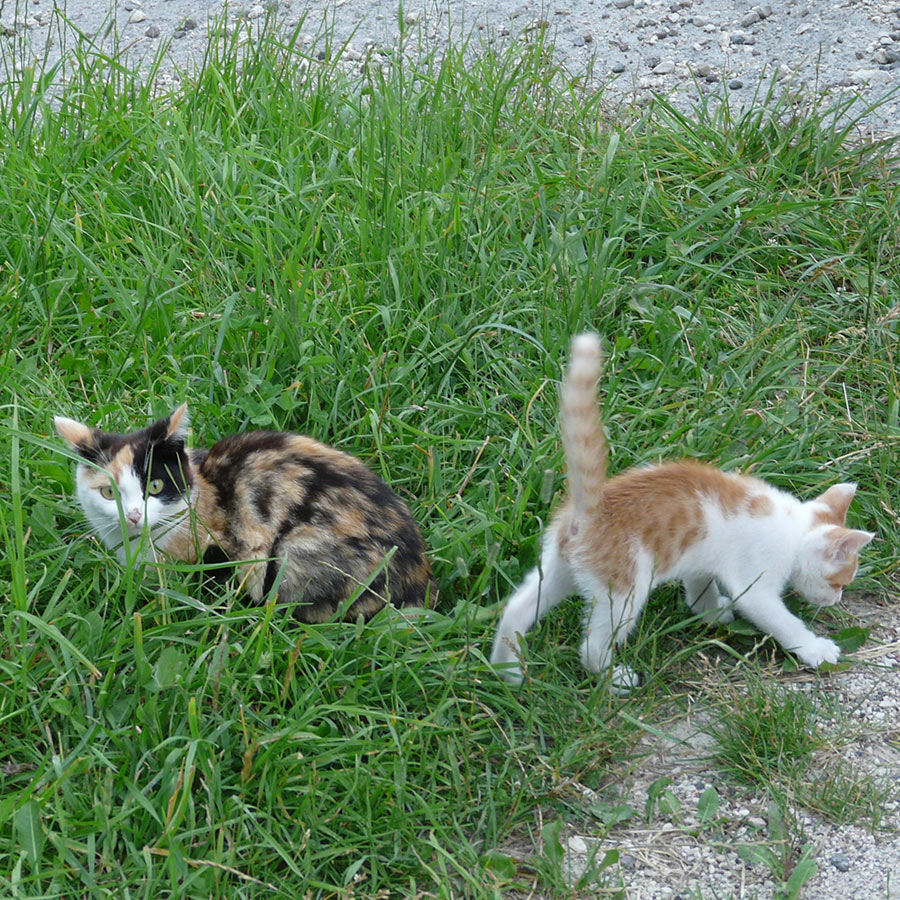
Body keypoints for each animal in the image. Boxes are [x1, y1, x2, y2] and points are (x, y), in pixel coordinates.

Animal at [55, 404, 436, 624]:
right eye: (108, 493)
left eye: (156, 486)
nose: (134, 516)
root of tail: (420, 579)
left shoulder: (224, 546)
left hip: (297, 553)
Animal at [488, 334, 876, 684]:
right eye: (840, 581)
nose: (837, 600)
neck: (794, 528)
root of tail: (595, 506)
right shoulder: (757, 582)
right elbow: (780, 620)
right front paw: (815, 649)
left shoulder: (701, 559)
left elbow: (700, 586)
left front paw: (710, 611)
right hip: (623, 592)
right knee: (592, 645)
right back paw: (612, 677)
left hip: (560, 569)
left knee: (517, 608)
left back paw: (507, 670)